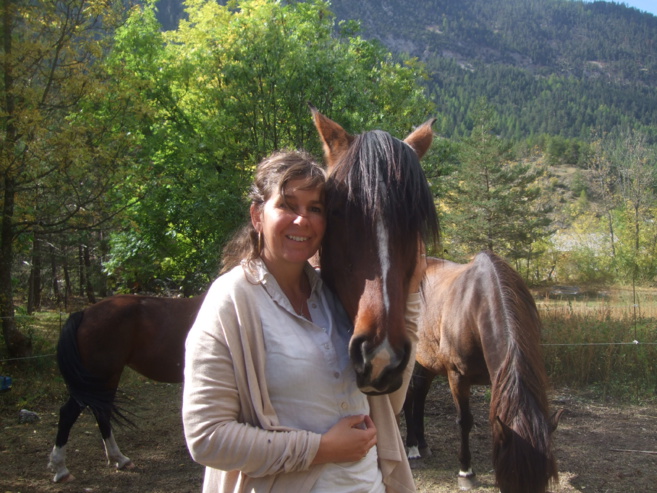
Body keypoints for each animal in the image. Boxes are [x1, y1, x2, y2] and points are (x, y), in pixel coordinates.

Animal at [48, 293, 205, 483]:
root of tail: (84, 313)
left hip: (106, 380)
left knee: (102, 413)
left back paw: (118, 459)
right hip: (99, 379)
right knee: (68, 414)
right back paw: (61, 469)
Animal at [403, 252, 562, 493]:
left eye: (543, 481)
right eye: (510, 481)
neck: (476, 305)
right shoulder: (457, 376)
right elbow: (464, 421)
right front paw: (466, 472)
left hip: (428, 359)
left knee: (420, 392)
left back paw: (422, 444)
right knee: (410, 394)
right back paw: (412, 448)